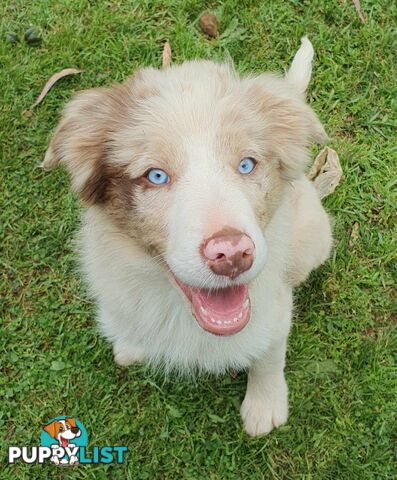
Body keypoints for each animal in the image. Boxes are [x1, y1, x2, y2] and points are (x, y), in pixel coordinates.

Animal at [44, 36, 332, 436]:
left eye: (246, 164)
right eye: (156, 176)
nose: (232, 254)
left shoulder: (275, 307)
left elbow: (270, 354)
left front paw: (265, 405)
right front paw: (131, 344)